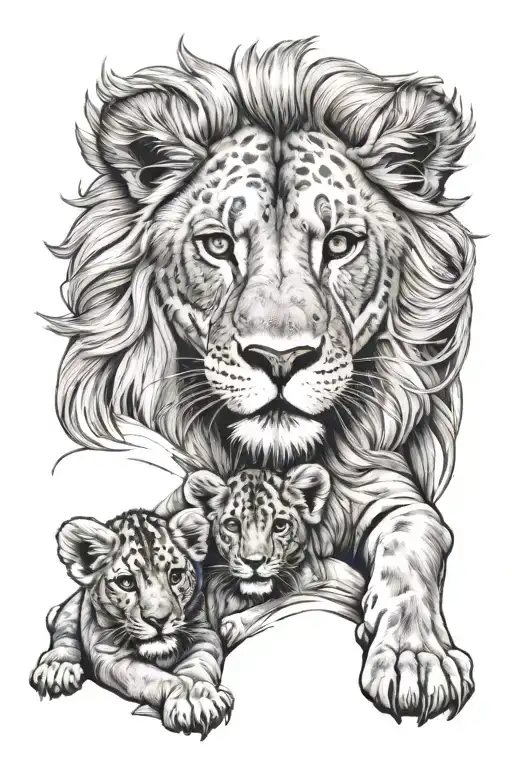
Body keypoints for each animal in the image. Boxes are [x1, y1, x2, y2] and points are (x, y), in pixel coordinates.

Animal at [30, 507, 233, 738]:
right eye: (126, 582)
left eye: (175, 576)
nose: (159, 620)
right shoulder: (110, 656)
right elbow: (155, 678)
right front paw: (187, 700)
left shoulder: (204, 634)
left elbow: (200, 664)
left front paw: (199, 698)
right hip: (72, 608)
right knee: (64, 630)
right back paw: (58, 668)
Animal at [43, 38, 476, 723]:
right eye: (219, 246)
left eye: (341, 244)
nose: (280, 358)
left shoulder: (390, 491)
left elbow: (414, 547)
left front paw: (414, 660)